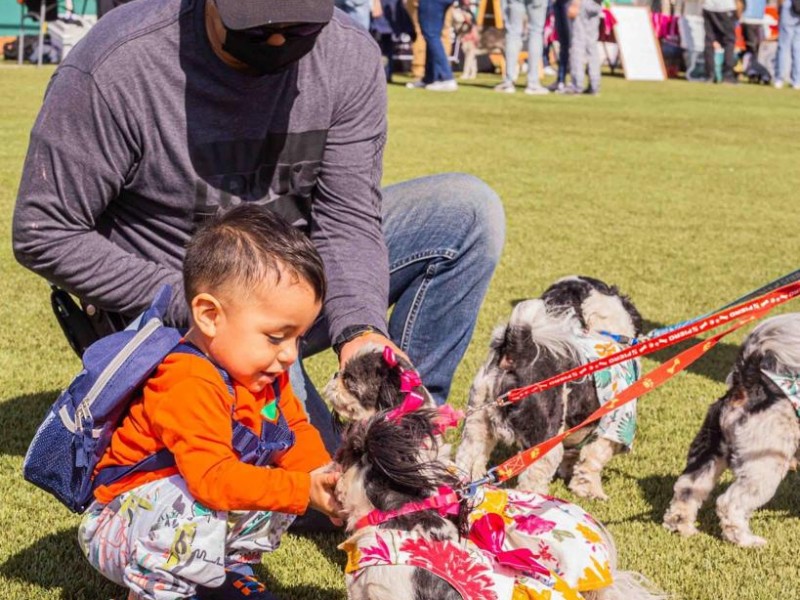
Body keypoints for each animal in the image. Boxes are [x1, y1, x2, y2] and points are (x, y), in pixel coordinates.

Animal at [456, 278, 644, 502]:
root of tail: (518, 352)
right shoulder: (612, 430)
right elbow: (591, 463)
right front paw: (592, 492)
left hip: (477, 422)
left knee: (468, 460)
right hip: (545, 440)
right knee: (533, 478)